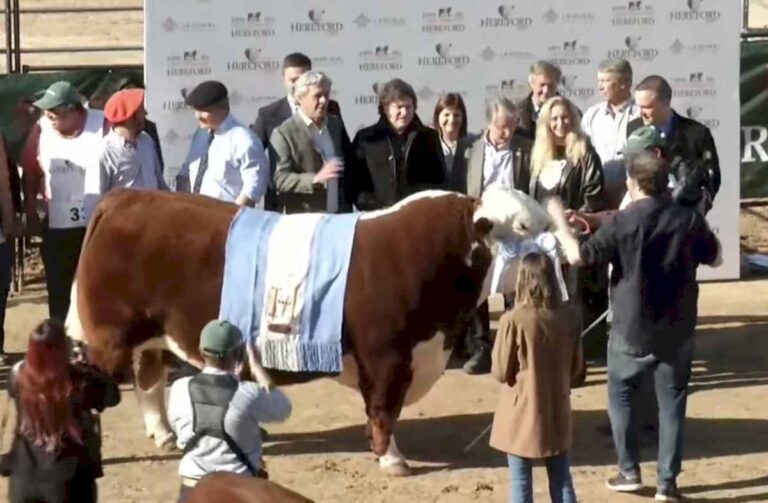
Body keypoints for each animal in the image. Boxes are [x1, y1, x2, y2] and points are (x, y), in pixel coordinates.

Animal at [66, 187, 556, 474]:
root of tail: (127, 196)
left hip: (150, 334)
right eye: (524, 226)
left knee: (147, 379)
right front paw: (391, 458)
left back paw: (164, 434)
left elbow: (378, 411)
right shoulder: (387, 356)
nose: (556, 245)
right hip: (110, 334)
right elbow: (384, 409)